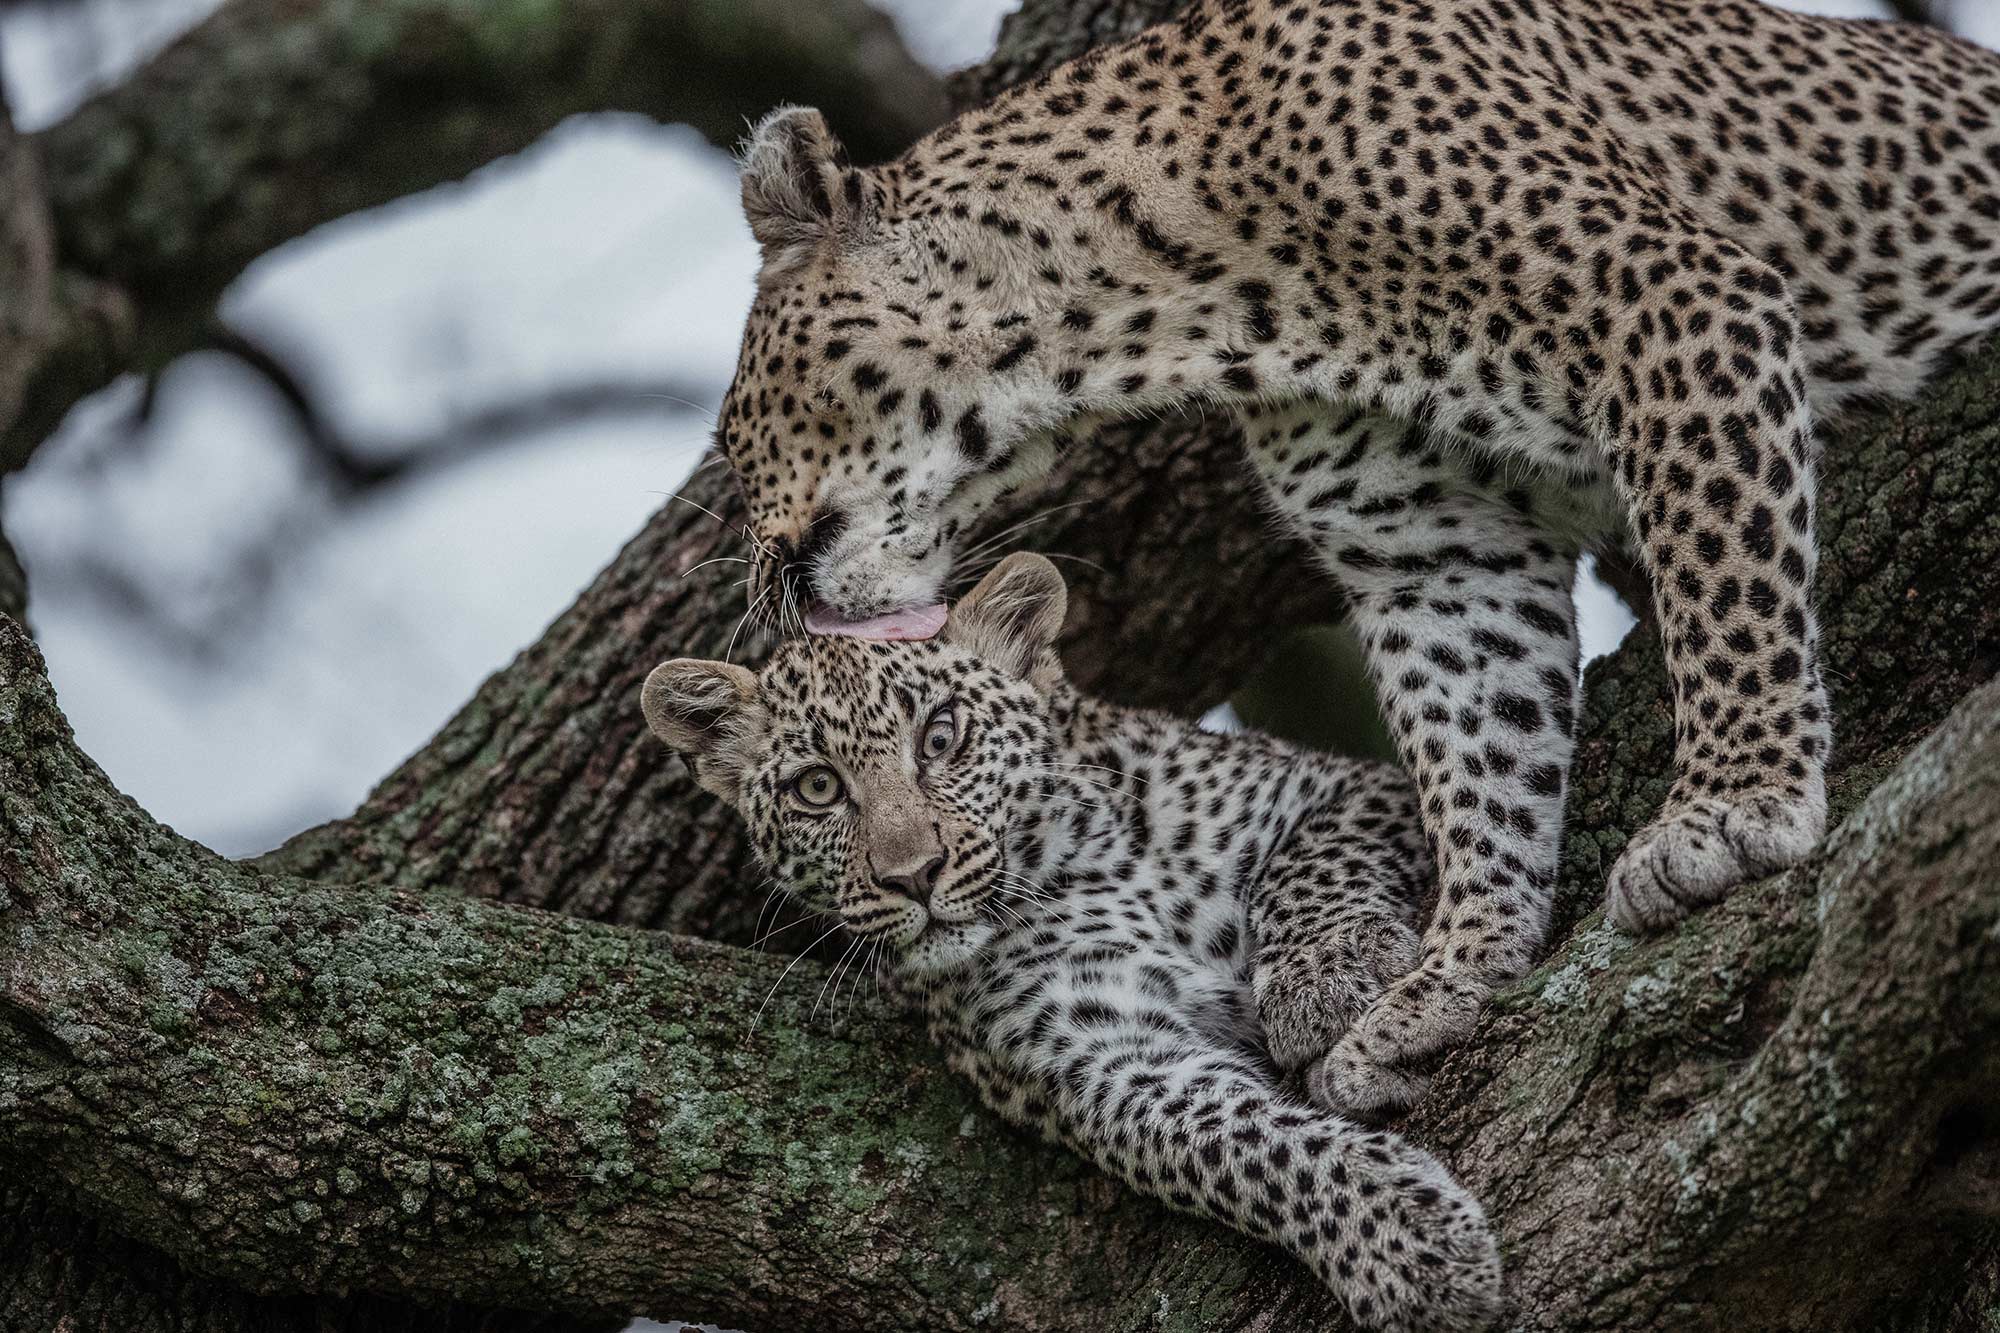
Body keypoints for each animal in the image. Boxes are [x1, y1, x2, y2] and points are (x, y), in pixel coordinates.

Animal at [708, 2, 2000, 1112]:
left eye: (730, 435)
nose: (760, 595)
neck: (1177, 311)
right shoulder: (1432, 546)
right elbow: (1480, 757)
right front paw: (1449, 972)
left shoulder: (1673, 300)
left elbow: (1722, 583)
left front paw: (1731, 808)